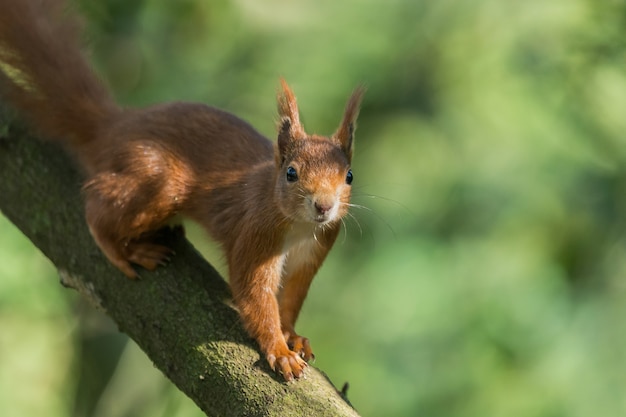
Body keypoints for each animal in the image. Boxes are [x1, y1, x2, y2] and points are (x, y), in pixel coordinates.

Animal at [0, 0, 360, 380]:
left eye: (349, 176)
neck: (299, 226)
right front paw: (278, 348)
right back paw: (124, 250)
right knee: (96, 209)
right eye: (291, 173)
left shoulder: (315, 248)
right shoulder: (255, 234)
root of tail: (114, 129)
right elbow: (254, 294)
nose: (324, 206)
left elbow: (290, 298)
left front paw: (292, 335)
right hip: (159, 183)